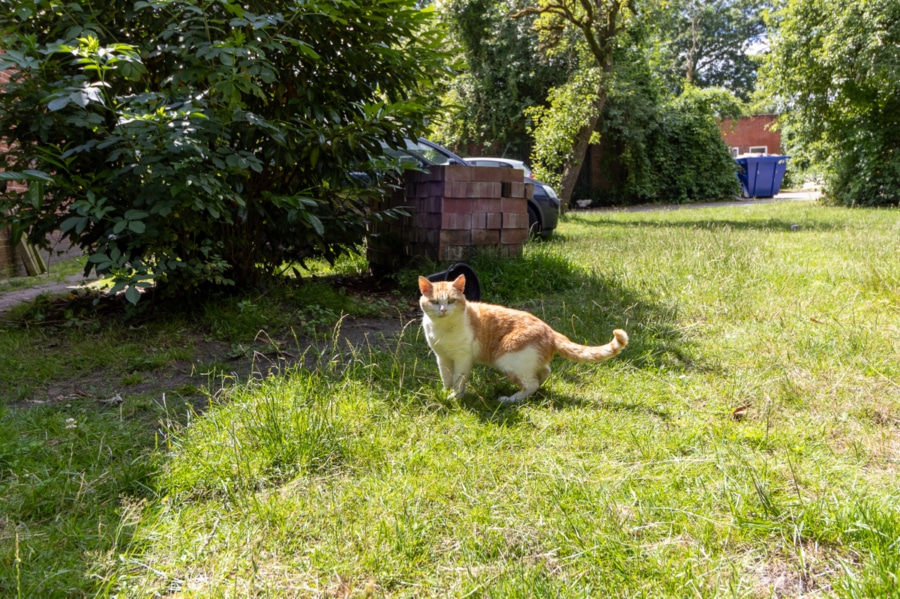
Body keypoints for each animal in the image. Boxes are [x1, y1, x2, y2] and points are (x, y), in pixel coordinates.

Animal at [418, 276, 628, 404]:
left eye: (451, 301)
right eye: (435, 302)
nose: (443, 310)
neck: (443, 329)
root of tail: (551, 331)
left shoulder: (463, 358)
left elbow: (458, 379)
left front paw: (456, 396)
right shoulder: (442, 357)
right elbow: (446, 377)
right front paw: (447, 392)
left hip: (506, 358)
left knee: (532, 383)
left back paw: (511, 399)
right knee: (543, 373)